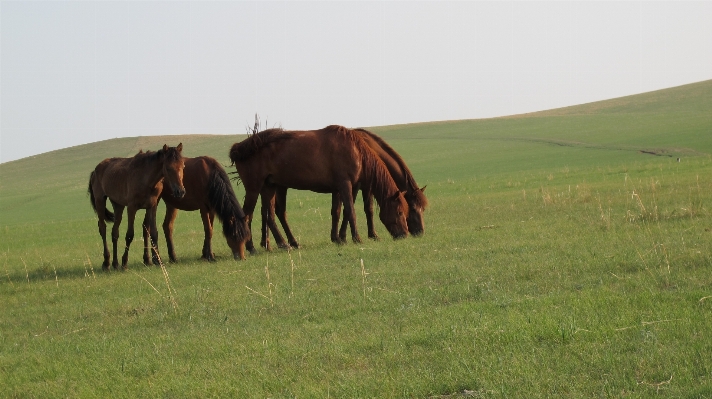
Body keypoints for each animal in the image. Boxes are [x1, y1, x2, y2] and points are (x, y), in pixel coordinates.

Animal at [228, 124, 406, 253]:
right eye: (399, 212)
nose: (405, 233)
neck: (356, 151)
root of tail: (239, 147)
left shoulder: (340, 188)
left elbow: (338, 212)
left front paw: (339, 238)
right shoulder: (345, 184)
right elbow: (351, 211)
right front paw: (357, 238)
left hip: (269, 187)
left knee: (269, 216)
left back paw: (284, 243)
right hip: (254, 189)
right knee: (248, 215)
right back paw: (252, 247)